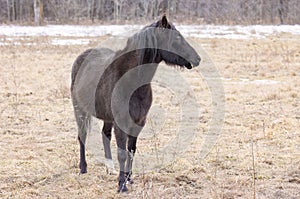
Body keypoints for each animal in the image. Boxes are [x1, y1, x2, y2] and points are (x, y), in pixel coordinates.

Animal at [71, 15, 200, 193]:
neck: (131, 81)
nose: (197, 59)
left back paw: (109, 168)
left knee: (105, 135)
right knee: (82, 136)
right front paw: (121, 185)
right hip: (80, 110)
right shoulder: (121, 123)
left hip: (106, 117)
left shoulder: (138, 122)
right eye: (177, 38)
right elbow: (122, 153)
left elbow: (131, 150)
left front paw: (128, 178)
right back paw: (83, 168)